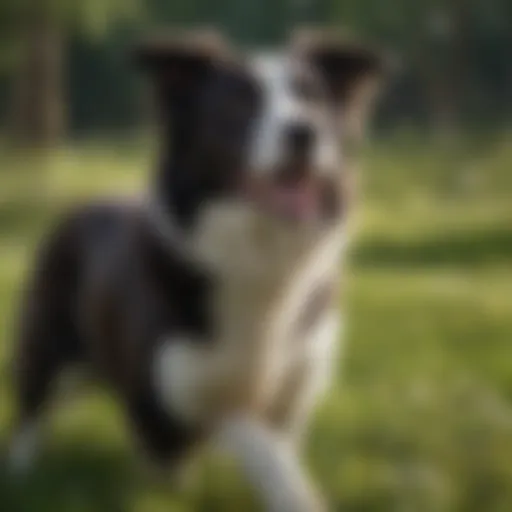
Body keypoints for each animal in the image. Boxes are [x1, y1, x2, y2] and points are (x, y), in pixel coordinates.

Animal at [8, 29, 386, 512]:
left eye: (312, 97)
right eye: (240, 100)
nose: (305, 131)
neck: (257, 256)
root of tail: (77, 208)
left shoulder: (293, 392)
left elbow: (274, 447)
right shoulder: (168, 399)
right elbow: (239, 433)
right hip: (50, 347)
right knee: (31, 410)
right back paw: (21, 472)